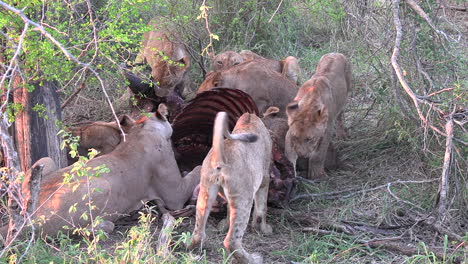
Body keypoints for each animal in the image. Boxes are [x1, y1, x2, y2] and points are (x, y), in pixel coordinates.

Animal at [188, 111, 272, 264]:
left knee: (198, 233)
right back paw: (254, 259)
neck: (249, 121)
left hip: (205, 191)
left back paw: (192, 248)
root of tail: (220, 157)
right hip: (245, 198)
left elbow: (228, 209)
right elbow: (261, 209)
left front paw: (224, 225)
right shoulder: (265, 177)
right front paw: (264, 230)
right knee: (231, 241)